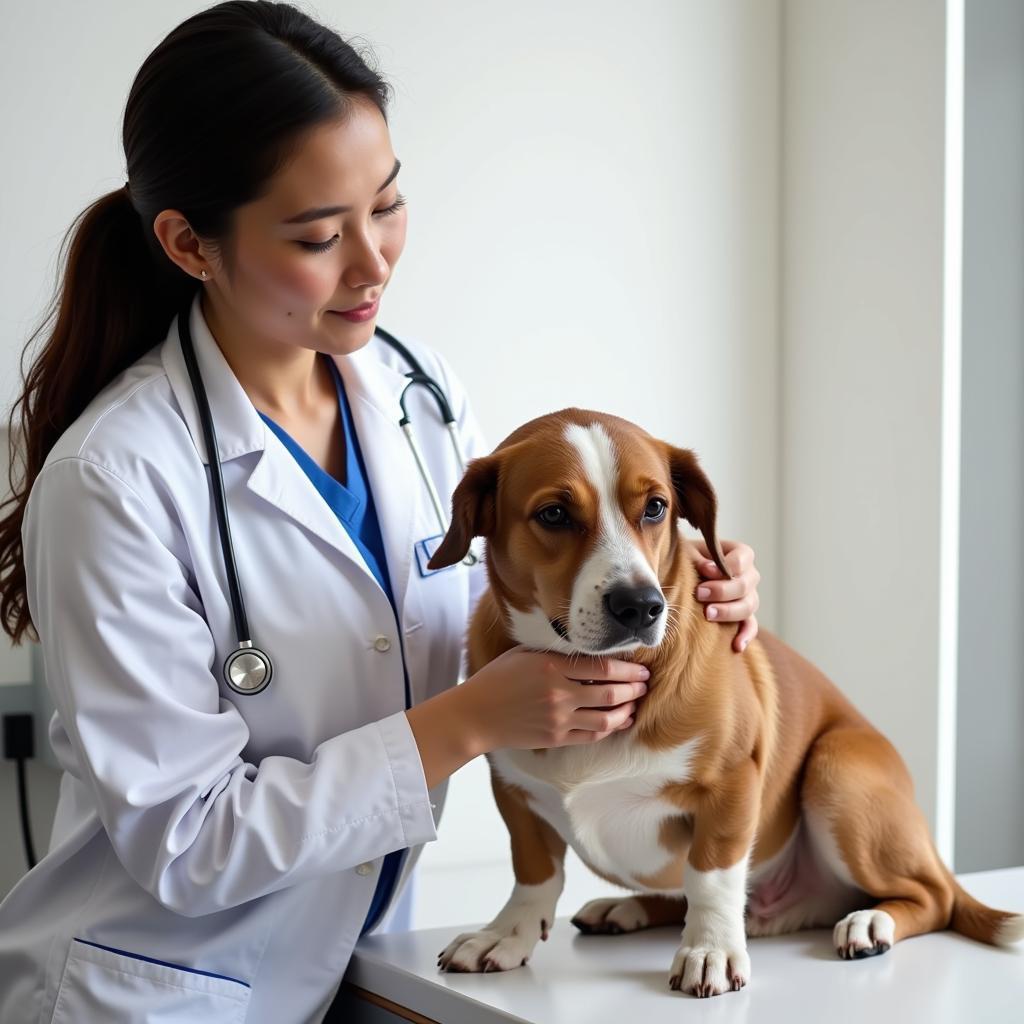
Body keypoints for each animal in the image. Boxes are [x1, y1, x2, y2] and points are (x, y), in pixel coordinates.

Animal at [425, 409, 1024, 999]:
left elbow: (709, 875)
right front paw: (508, 933)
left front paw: (709, 950)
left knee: (933, 898)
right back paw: (627, 909)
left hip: (838, 767)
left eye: (656, 507)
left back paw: (871, 922)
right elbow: (534, 873)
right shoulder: (513, 790)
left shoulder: (732, 781)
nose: (641, 605)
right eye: (553, 514)